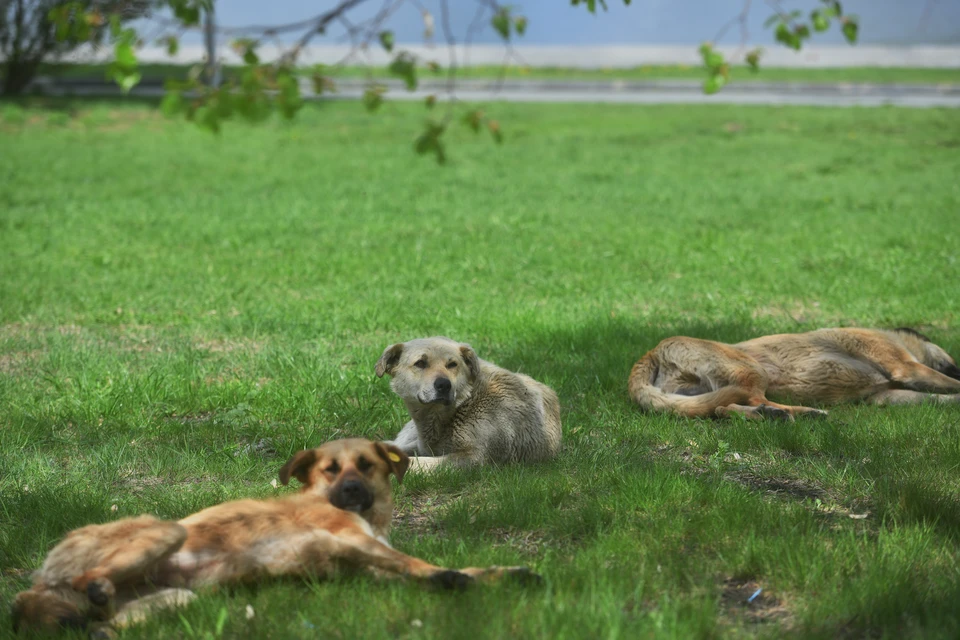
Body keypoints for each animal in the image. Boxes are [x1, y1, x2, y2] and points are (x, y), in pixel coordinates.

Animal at [11, 436, 540, 636]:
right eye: (330, 470)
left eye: (366, 465)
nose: (351, 491)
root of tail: (38, 584)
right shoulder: (354, 542)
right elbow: (421, 564)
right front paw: (452, 576)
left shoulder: (364, 567)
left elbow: (442, 571)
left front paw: (501, 575)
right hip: (167, 531)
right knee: (87, 582)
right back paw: (93, 587)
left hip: (177, 597)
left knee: (101, 622)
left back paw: (96, 624)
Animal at [376, 336, 564, 470]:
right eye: (420, 363)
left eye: (452, 364)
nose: (444, 385)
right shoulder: (423, 446)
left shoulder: (473, 457)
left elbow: (418, 462)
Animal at [632, 328, 960, 422]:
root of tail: (652, 351)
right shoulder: (906, 367)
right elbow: (953, 383)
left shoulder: (885, 396)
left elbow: (937, 397)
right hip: (753, 371)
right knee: (750, 400)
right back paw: (802, 413)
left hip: (703, 394)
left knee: (723, 409)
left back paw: (768, 416)